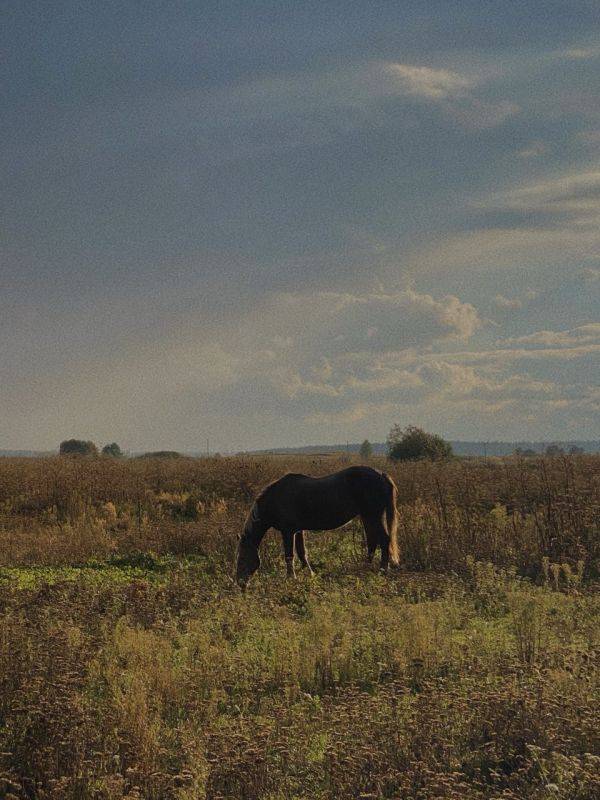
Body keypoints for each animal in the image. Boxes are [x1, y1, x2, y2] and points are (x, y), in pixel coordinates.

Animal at [234, 462, 398, 588]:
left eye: (242, 558)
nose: (241, 584)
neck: (275, 499)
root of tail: (382, 475)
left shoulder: (288, 532)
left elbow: (289, 555)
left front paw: (291, 578)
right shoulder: (298, 530)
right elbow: (302, 552)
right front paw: (310, 573)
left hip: (373, 516)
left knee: (384, 540)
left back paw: (383, 570)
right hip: (368, 516)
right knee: (372, 541)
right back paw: (365, 567)